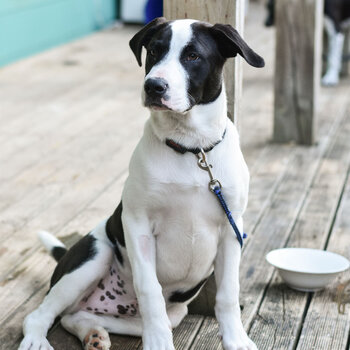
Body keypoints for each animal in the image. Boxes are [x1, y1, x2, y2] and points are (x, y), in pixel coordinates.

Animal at [18, 18, 262, 350]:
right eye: (155, 51)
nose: (153, 86)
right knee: (42, 313)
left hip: (166, 313)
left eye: (193, 56)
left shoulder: (231, 228)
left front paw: (236, 340)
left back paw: (94, 334)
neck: (191, 148)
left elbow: (227, 292)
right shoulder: (137, 224)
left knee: (75, 316)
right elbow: (150, 290)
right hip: (96, 254)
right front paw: (158, 344)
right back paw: (36, 339)